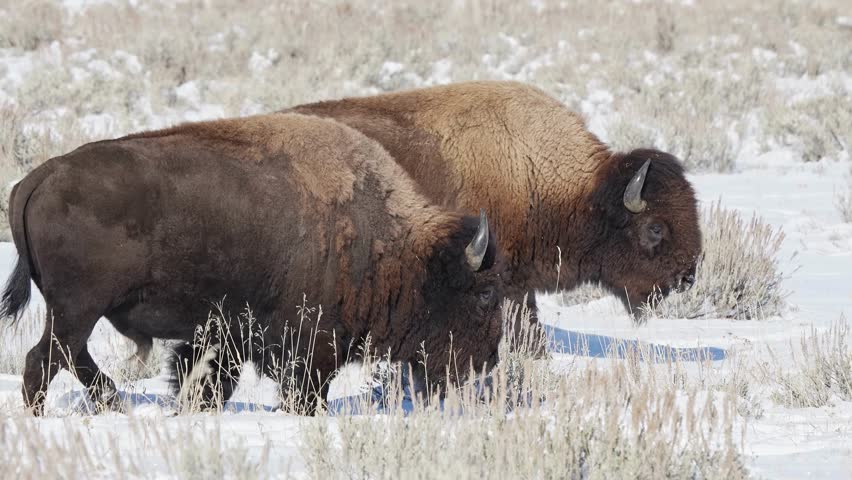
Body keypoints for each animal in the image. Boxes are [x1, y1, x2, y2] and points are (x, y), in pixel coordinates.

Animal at [0, 113, 504, 415]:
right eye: (483, 297)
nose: (489, 361)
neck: (387, 247)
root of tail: (38, 177)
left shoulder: (224, 334)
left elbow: (209, 381)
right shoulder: (309, 347)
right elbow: (304, 392)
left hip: (75, 312)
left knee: (68, 357)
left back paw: (111, 404)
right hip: (78, 310)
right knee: (45, 359)